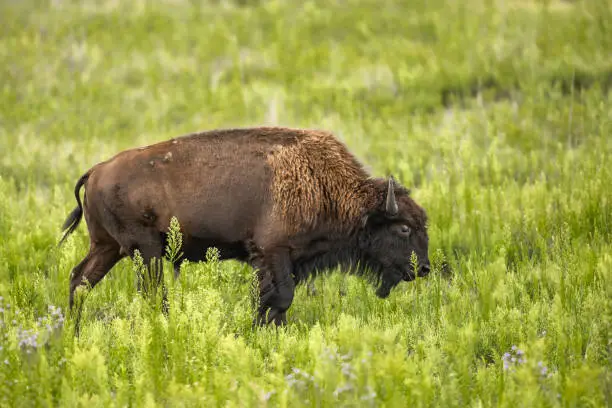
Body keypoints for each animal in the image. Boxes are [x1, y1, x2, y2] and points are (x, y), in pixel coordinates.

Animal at [58, 126, 430, 326]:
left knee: (80, 280)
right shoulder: (273, 252)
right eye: (403, 228)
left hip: (108, 247)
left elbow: (272, 301)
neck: (326, 186)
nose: (424, 268)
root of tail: (96, 170)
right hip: (144, 249)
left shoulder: (281, 261)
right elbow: (278, 298)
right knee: (151, 293)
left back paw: (71, 334)